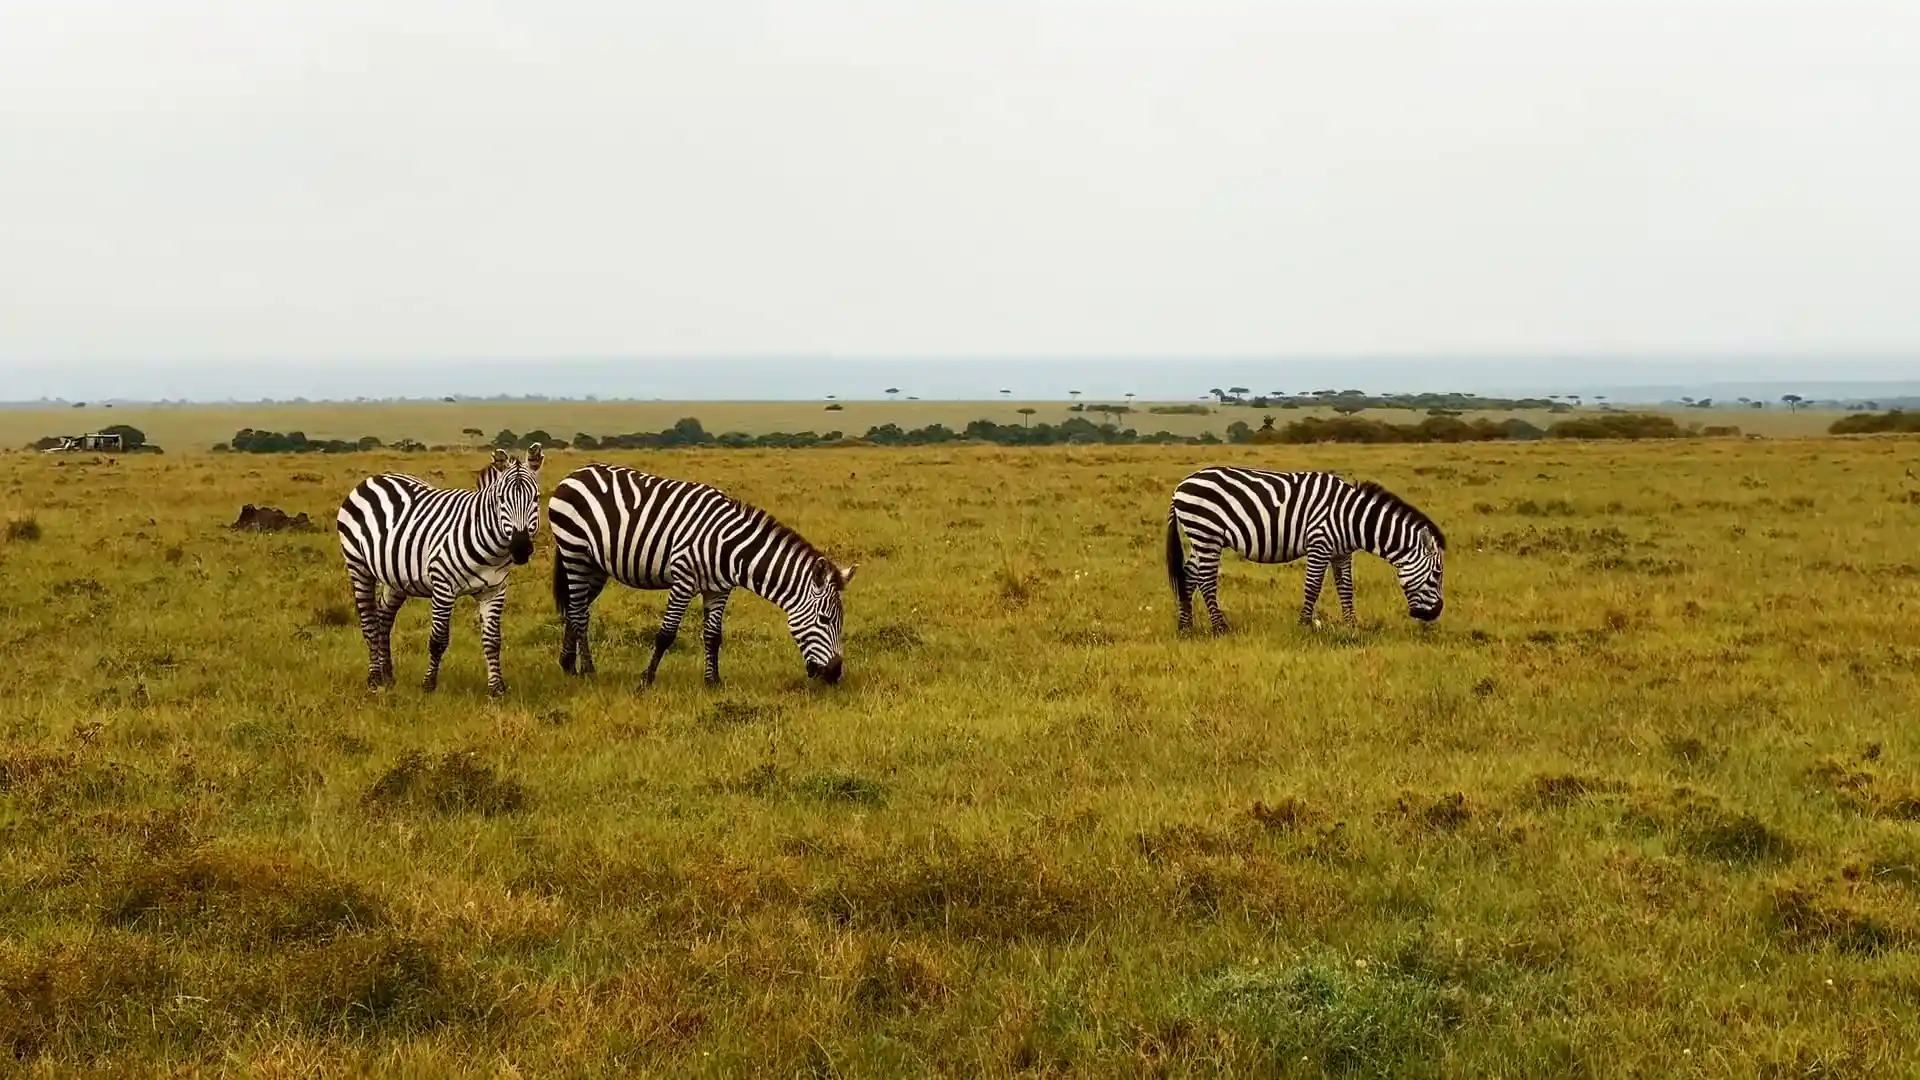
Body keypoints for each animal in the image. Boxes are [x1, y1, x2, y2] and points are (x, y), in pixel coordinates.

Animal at [335, 446, 544, 696]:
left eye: (536, 498)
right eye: (501, 499)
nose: (521, 548)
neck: (492, 548)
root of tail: (373, 478)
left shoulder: (494, 590)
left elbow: (493, 640)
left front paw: (496, 688)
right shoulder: (443, 585)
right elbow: (438, 640)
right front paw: (429, 684)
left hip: (397, 576)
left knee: (384, 617)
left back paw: (388, 675)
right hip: (358, 565)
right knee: (369, 621)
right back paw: (375, 678)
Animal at [547, 463, 856, 686]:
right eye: (825, 619)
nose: (835, 675)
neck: (729, 547)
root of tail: (576, 474)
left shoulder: (718, 589)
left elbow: (713, 636)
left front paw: (713, 681)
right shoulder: (684, 580)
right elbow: (666, 634)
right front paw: (646, 679)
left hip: (595, 566)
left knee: (576, 608)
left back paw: (568, 665)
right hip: (574, 553)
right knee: (579, 613)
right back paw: (588, 670)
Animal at [1165, 466, 1445, 634]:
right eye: (1437, 575)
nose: (1435, 614)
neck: (1351, 517)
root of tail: (1181, 485)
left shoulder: (1341, 552)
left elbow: (1346, 588)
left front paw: (1352, 626)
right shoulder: (1319, 544)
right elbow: (1313, 586)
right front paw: (1304, 625)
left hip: (1200, 537)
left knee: (1189, 575)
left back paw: (1186, 626)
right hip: (1207, 533)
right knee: (1205, 580)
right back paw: (1220, 627)